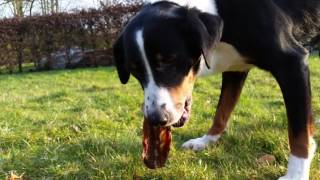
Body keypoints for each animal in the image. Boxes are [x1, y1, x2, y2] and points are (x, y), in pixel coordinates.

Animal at [112, 0, 318, 179]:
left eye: (169, 61)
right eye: (135, 71)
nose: (156, 118)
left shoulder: (292, 63)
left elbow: (299, 133)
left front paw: (296, 173)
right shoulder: (235, 70)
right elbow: (221, 112)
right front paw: (206, 141)